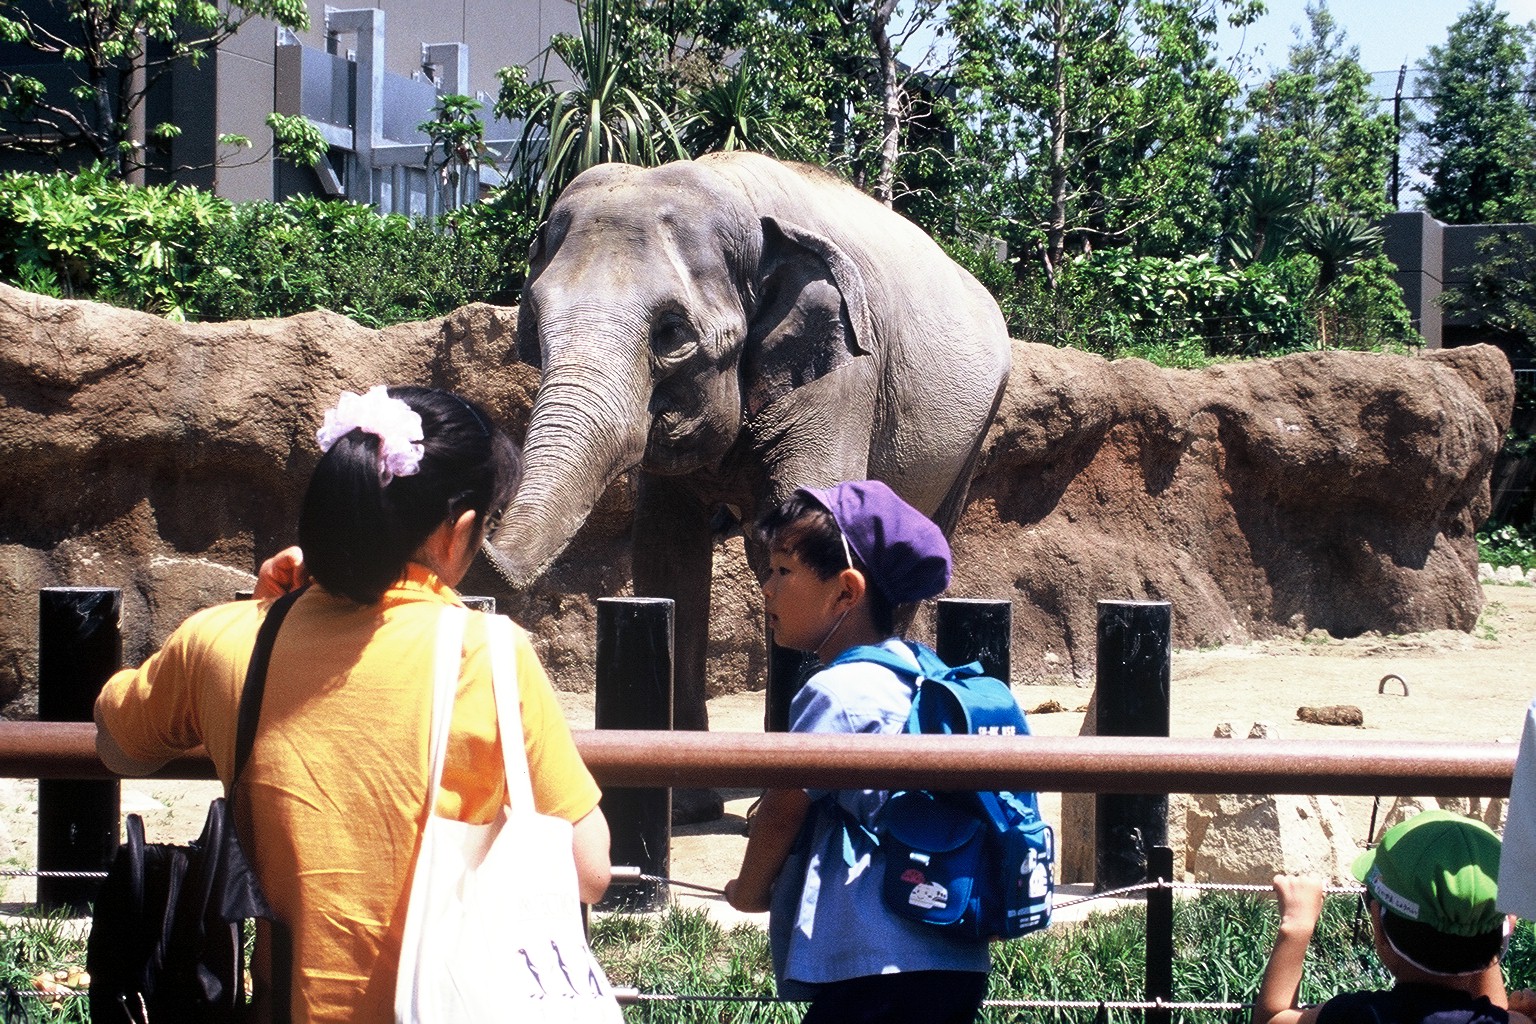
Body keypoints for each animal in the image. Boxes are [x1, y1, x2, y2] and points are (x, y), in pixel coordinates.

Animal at [488, 150, 1007, 761]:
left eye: (671, 334)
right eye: (533, 320)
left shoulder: (844, 377)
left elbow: (796, 524)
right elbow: (666, 552)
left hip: (975, 428)